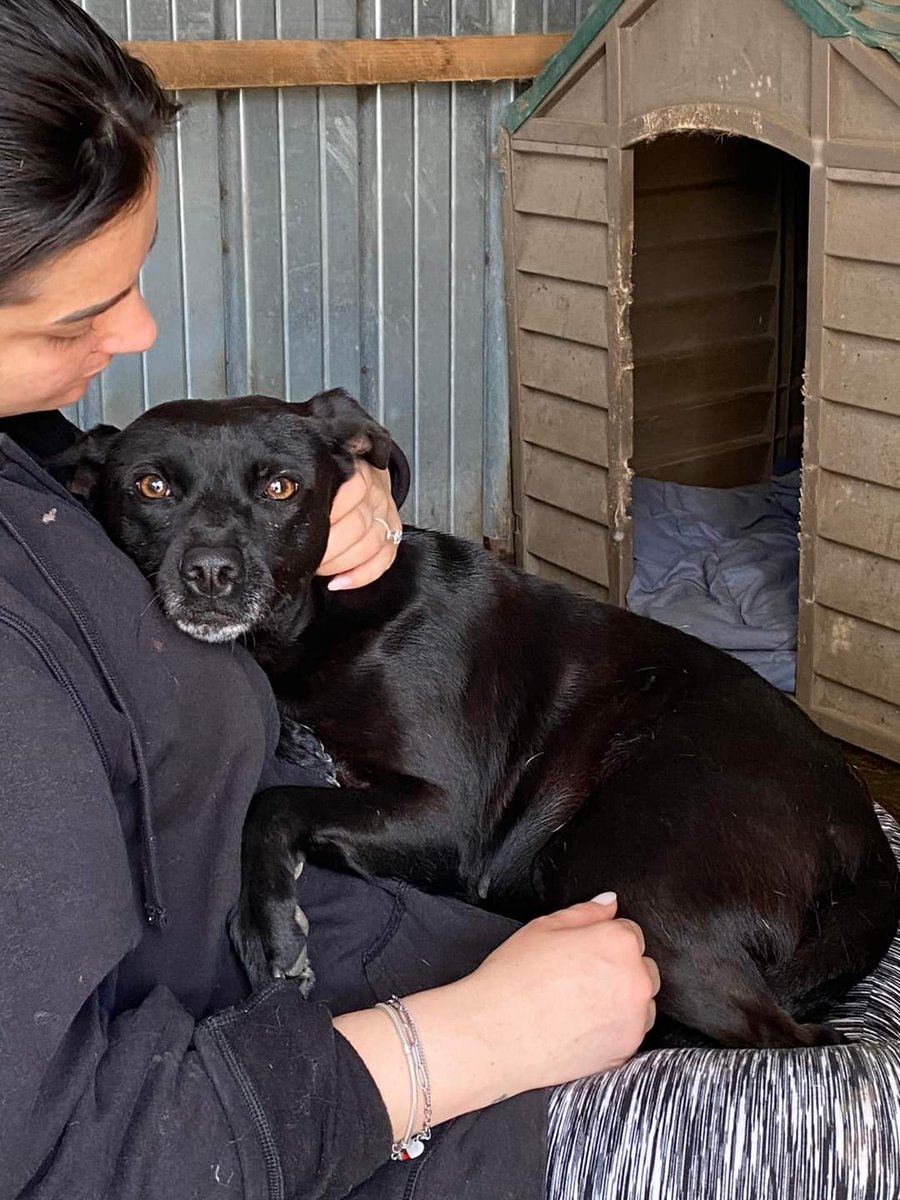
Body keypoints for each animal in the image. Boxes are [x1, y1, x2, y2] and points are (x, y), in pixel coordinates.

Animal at [60, 388, 900, 1046]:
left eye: (279, 488)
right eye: (151, 486)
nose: (210, 574)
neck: (316, 625)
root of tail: (863, 830)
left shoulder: (450, 819)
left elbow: (273, 801)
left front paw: (266, 924)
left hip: (624, 868)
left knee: (787, 1035)